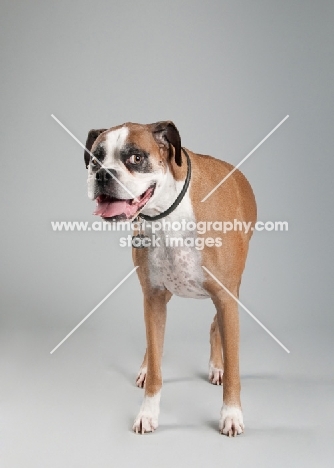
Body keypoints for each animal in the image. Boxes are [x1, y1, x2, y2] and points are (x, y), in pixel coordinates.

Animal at [85, 120, 258, 436]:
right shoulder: (153, 297)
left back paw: (217, 366)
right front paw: (148, 413)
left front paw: (231, 414)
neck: (166, 213)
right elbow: (156, 362)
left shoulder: (226, 297)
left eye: (136, 158)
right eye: (95, 159)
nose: (103, 174)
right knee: (155, 344)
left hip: (230, 294)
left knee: (215, 325)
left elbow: (234, 367)